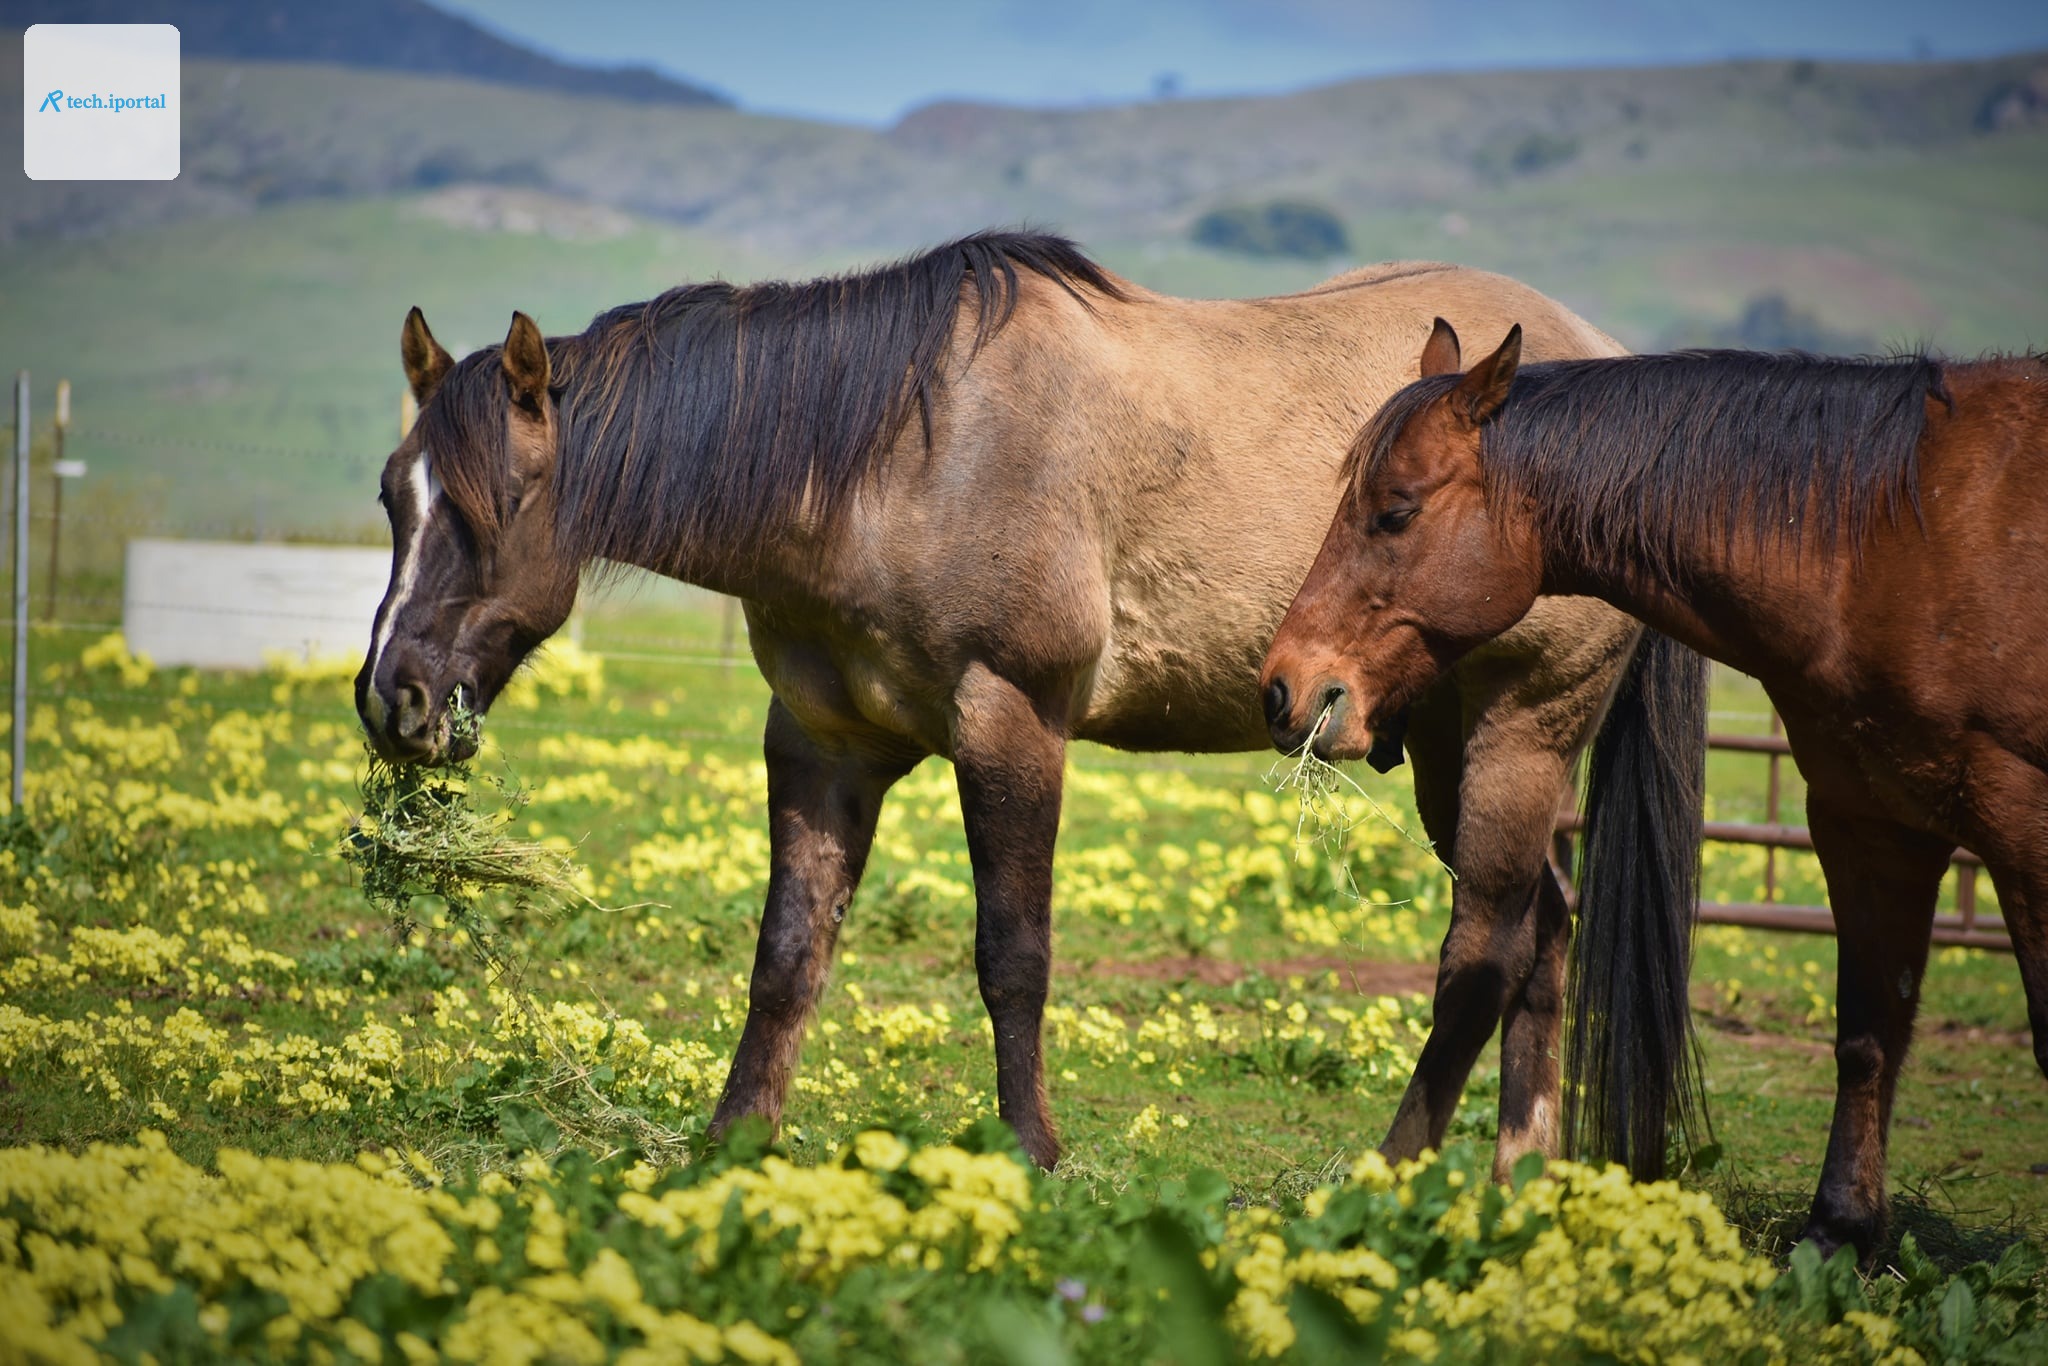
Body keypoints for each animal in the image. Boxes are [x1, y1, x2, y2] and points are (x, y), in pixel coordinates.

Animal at [354, 231, 1707, 1178]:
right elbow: (787, 953)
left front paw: (1034, 1154)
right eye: (390, 497)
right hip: (1437, 747)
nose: (393, 699)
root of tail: (1602, 370)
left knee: (1486, 948)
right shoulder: (822, 743)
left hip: (1518, 729)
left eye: (489, 509)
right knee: (1541, 932)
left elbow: (1013, 954)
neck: (899, 454)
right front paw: (732, 1141)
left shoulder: (1009, 722)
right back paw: (1515, 1177)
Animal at [1261, 317, 2048, 1259]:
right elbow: (1869, 1030)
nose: (1283, 688)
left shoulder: (2023, 831)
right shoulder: (1870, 822)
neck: (1890, 540)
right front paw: (1838, 1234)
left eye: (1396, 511)